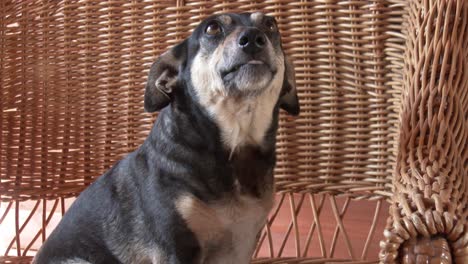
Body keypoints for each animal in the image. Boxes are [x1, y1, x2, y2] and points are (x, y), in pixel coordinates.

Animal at [35, 12, 300, 264]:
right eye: (212, 28)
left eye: (271, 25)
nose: (253, 38)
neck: (235, 146)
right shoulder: (175, 247)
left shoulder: (242, 246)